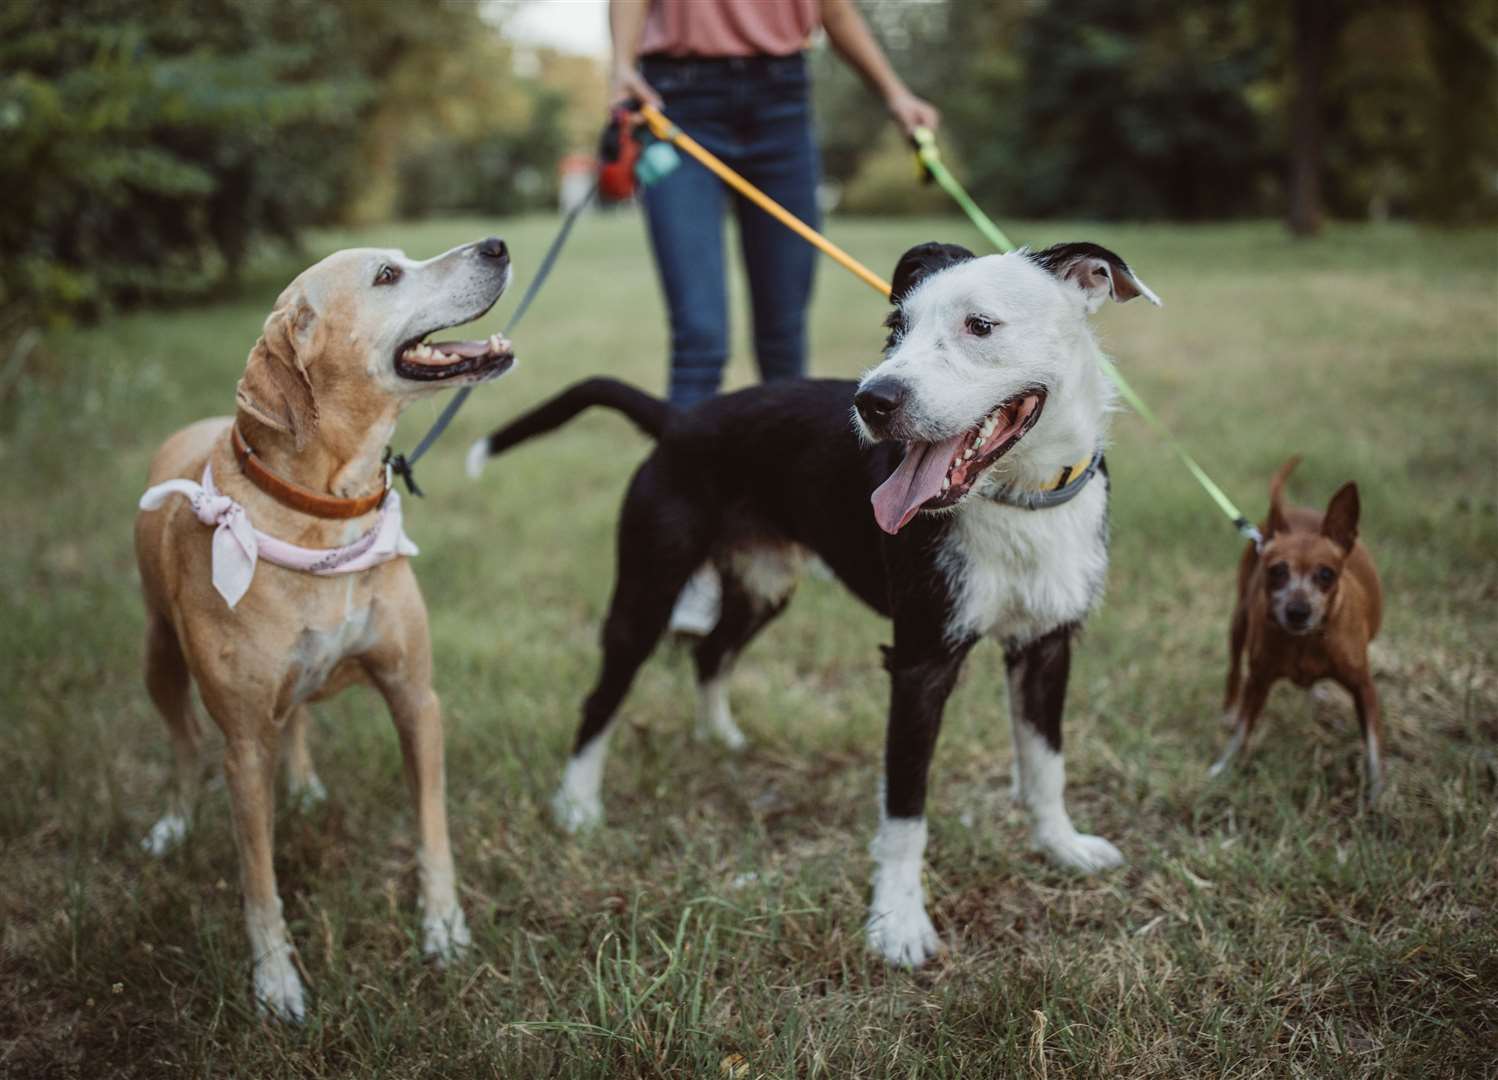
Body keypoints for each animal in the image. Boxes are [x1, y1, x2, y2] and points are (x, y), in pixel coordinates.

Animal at [136, 238, 521, 1018]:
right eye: (387, 276)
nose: (497, 245)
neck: (326, 508)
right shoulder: (243, 746)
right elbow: (258, 879)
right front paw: (275, 981)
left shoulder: (415, 697)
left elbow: (432, 828)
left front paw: (444, 929)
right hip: (158, 655)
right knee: (184, 745)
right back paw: (175, 822)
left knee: (298, 718)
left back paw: (306, 785)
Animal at [1210, 455, 1384, 802]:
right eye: (1276, 571)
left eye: (1326, 574)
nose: (1298, 611)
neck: (1306, 642)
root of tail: (1290, 510)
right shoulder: (1258, 682)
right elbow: (1242, 731)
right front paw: (1224, 769)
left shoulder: (1364, 687)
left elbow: (1372, 743)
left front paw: (1377, 791)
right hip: (1238, 623)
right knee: (1234, 670)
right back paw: (1229, 711)